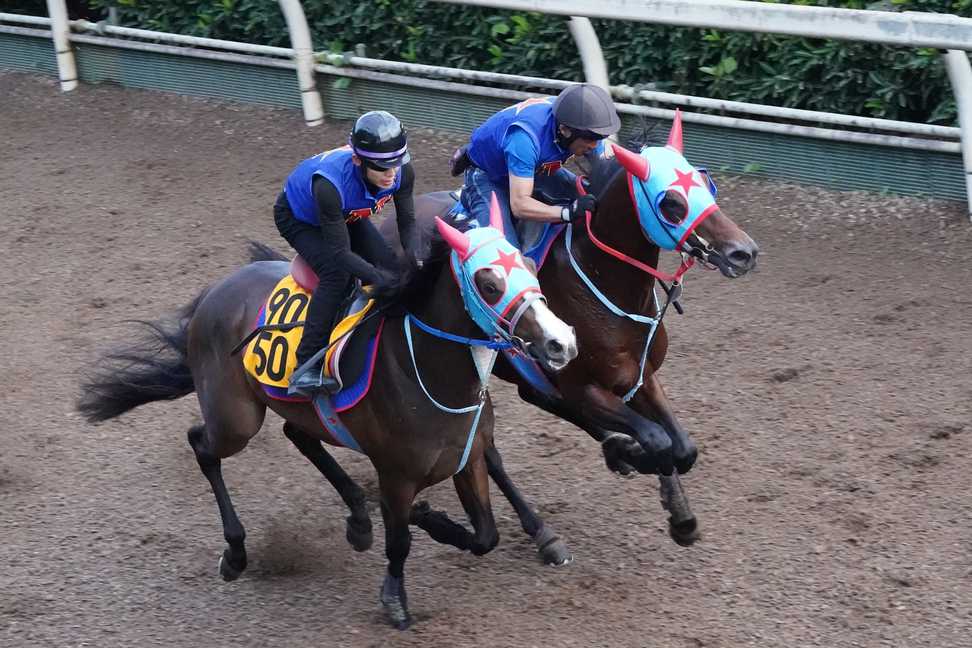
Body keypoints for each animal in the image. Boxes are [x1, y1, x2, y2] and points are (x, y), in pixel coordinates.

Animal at [79, 206, 576, 628]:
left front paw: (429, 518)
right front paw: (396, 599)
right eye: (489, 284)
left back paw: (357, 518)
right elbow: (401, 541)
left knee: (296, 434)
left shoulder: (467, 459)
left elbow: (485, 536)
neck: (429, 371)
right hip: (236, 419)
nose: (562, 343)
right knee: (202, 444)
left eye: (530, 266)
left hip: (299, 410)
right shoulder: (396, 474)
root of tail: (213, 294)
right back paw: (236, 553)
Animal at [394, 111, 760, 556]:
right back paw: (544, 528)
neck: (603, 283)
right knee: (491, 451)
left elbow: (682, 447)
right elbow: (658, 442)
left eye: (706, 183)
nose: (743, 252)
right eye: (671, 202)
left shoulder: (639, 376)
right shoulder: (583, 386)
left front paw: (680, 516)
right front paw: (634, 455)